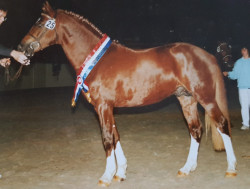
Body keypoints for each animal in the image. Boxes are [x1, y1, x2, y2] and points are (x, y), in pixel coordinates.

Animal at [18, 2, 236, 187]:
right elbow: (115, 136)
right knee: (195, 130)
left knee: (222, 124)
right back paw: (186, 168)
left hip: (206, 99)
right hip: (186, 99)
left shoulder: (103, 106)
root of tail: (208, 55)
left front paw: (106, 176)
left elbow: (107, 138)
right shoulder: (107, 108)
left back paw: (231, 168)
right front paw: (120, 172)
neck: (97, 60)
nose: (21, 47)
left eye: (41, 23)